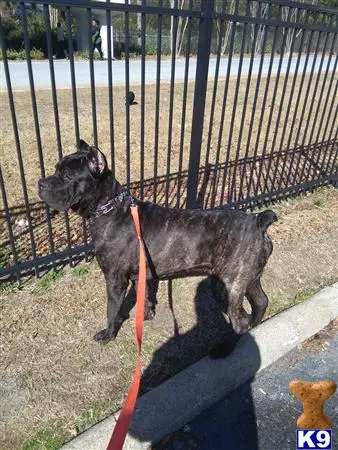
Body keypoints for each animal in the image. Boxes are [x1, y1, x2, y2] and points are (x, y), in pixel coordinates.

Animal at [39, 140, 278, 342]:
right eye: (56, 169)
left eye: (67, 175)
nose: (41, 183)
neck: (109, 207)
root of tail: (258, 221)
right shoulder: (139, 276)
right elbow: (143, 297)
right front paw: (145, 316)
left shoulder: (115, 280)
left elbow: (112, 310)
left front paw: (108, 334)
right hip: (248, 277)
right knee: (260, 301)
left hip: (234, 283)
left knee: (240, 319)